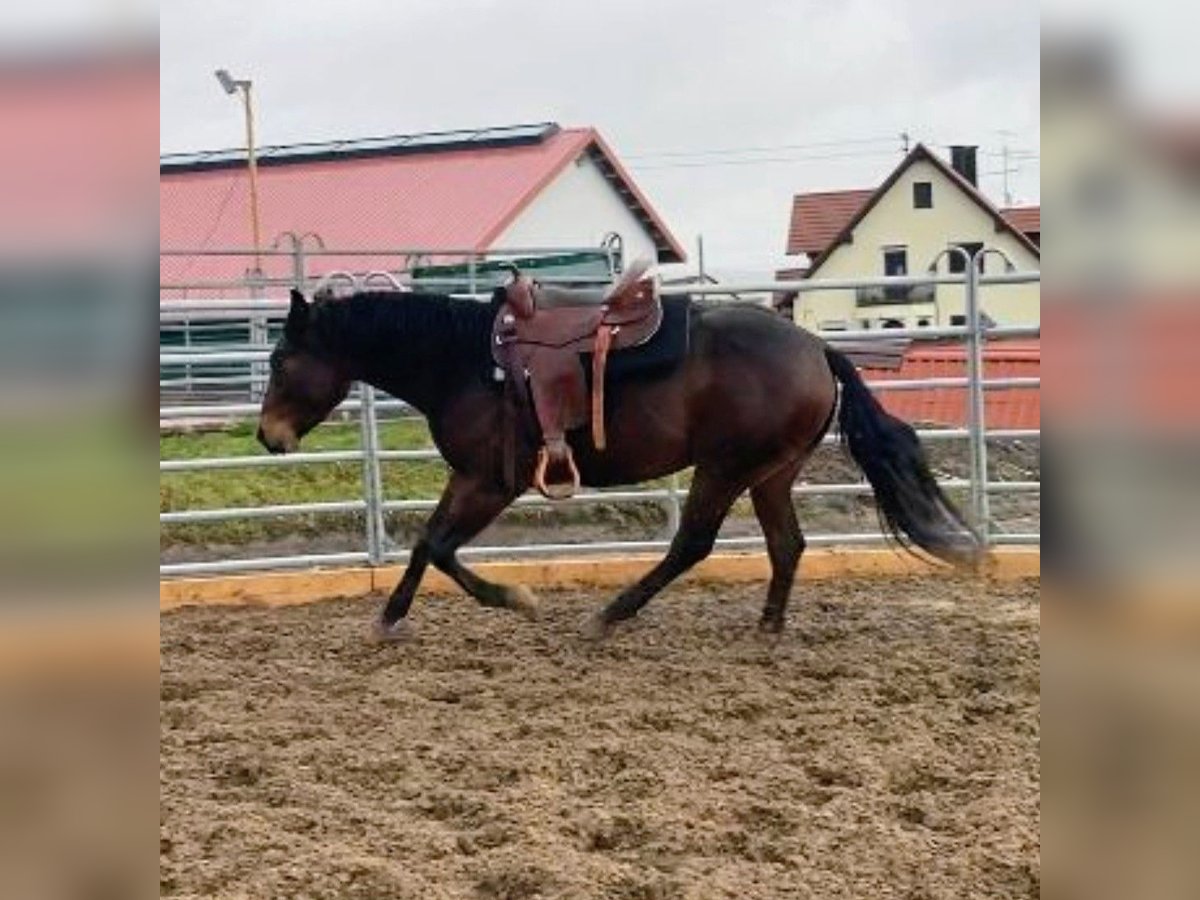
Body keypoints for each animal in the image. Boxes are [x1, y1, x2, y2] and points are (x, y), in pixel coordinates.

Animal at [256, 287, 979, 639]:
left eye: (282, 360)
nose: (267, 436)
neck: (468, 362)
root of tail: (815, 349)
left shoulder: (493, 482)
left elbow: (439, 547)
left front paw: (514, 599)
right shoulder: (468, 477)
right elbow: (423, 544)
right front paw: (390, 618)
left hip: (724, 468)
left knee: (692, 544)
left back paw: (611, 615)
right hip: (769, 473)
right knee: (786, 545)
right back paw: (768, 626)